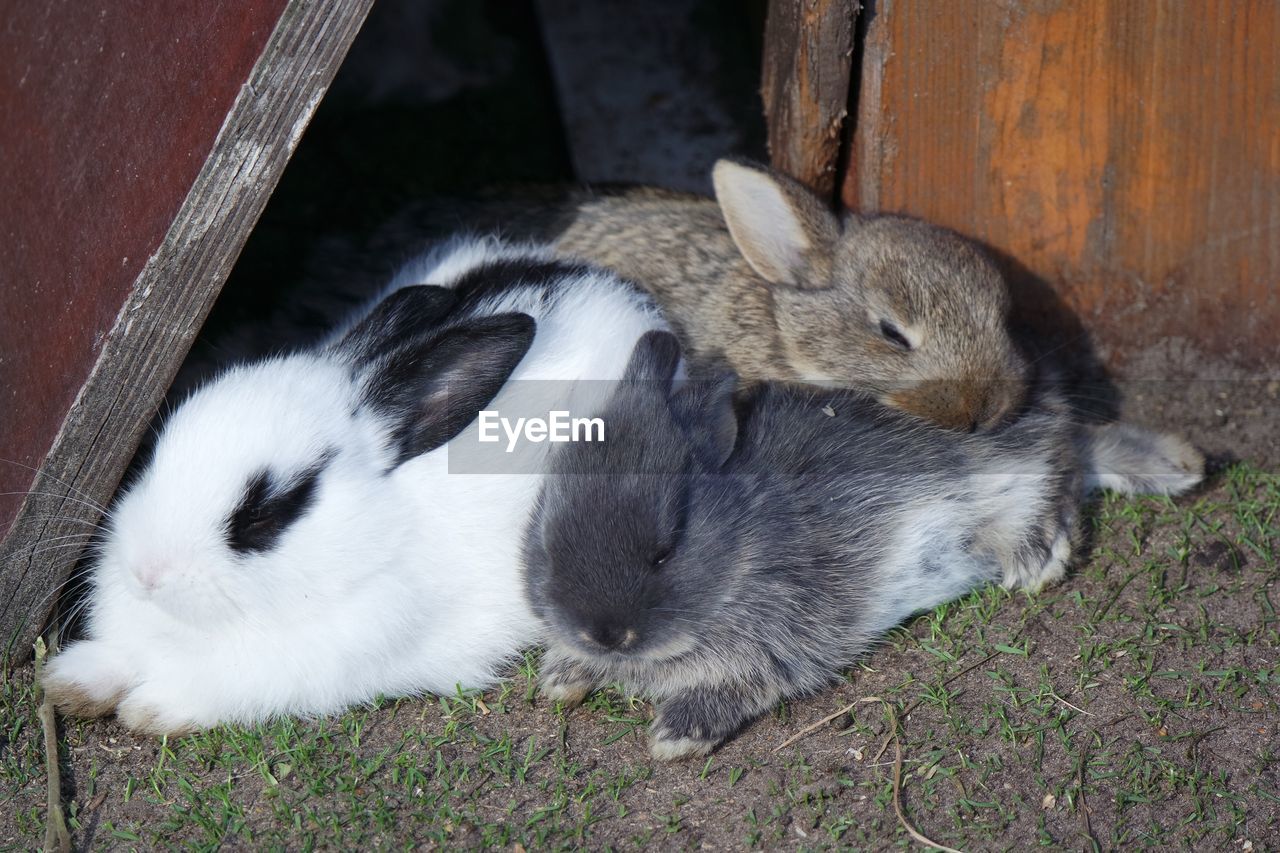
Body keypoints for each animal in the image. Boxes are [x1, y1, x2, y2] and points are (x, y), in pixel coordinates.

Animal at [524, 327, 1203, 753]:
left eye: (666, 549)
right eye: (546, 545)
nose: (604, 634)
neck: (745, 534)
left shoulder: (779, 643)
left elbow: (741, 684)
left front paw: (675, 737)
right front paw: (562, 677)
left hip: (1013, 466)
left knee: (1061, 465)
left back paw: (1042, 554)